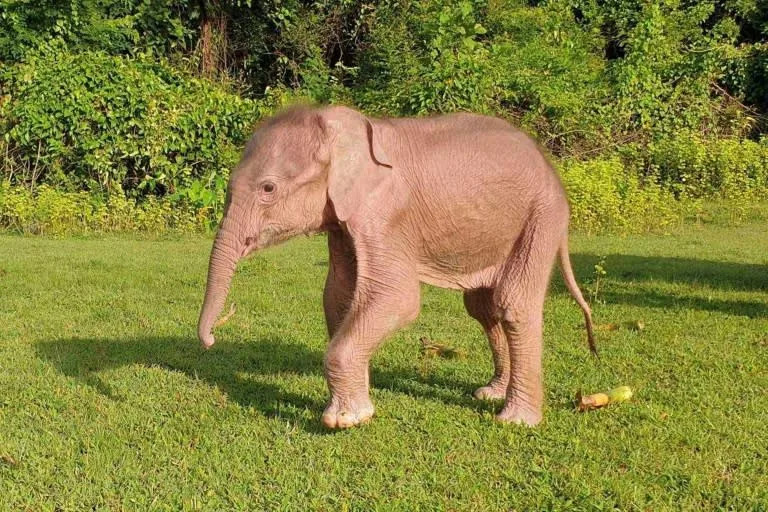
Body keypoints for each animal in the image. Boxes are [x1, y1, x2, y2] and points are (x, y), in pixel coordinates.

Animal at [196, 104, 592, 428]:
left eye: (268, 189)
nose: (211, 340)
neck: (343, 125)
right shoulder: (343, 221)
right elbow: (338, 296)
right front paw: (357, 402)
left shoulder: (386, 215)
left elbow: (397, 298)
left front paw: (345, 420)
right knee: (482, 306)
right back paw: (490, 393)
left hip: (542, 215)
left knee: (513, 303)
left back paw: (516, 420)